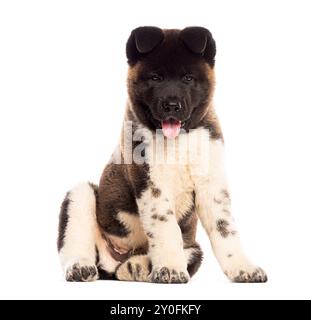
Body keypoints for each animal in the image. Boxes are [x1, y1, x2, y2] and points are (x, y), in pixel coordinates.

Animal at [58, 26, 268, 284]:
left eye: (188, 78)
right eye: (155, 78)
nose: (172, 105)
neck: (179, 141)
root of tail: (116, 261)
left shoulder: (212, 186)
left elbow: (225, 229)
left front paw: (243, 268)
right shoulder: (151, 184)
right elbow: (165, 227)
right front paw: (170, 268)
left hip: (195, 248)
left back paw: (136, 267)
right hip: (81, 194)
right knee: (76, 239)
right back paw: (81, 267)